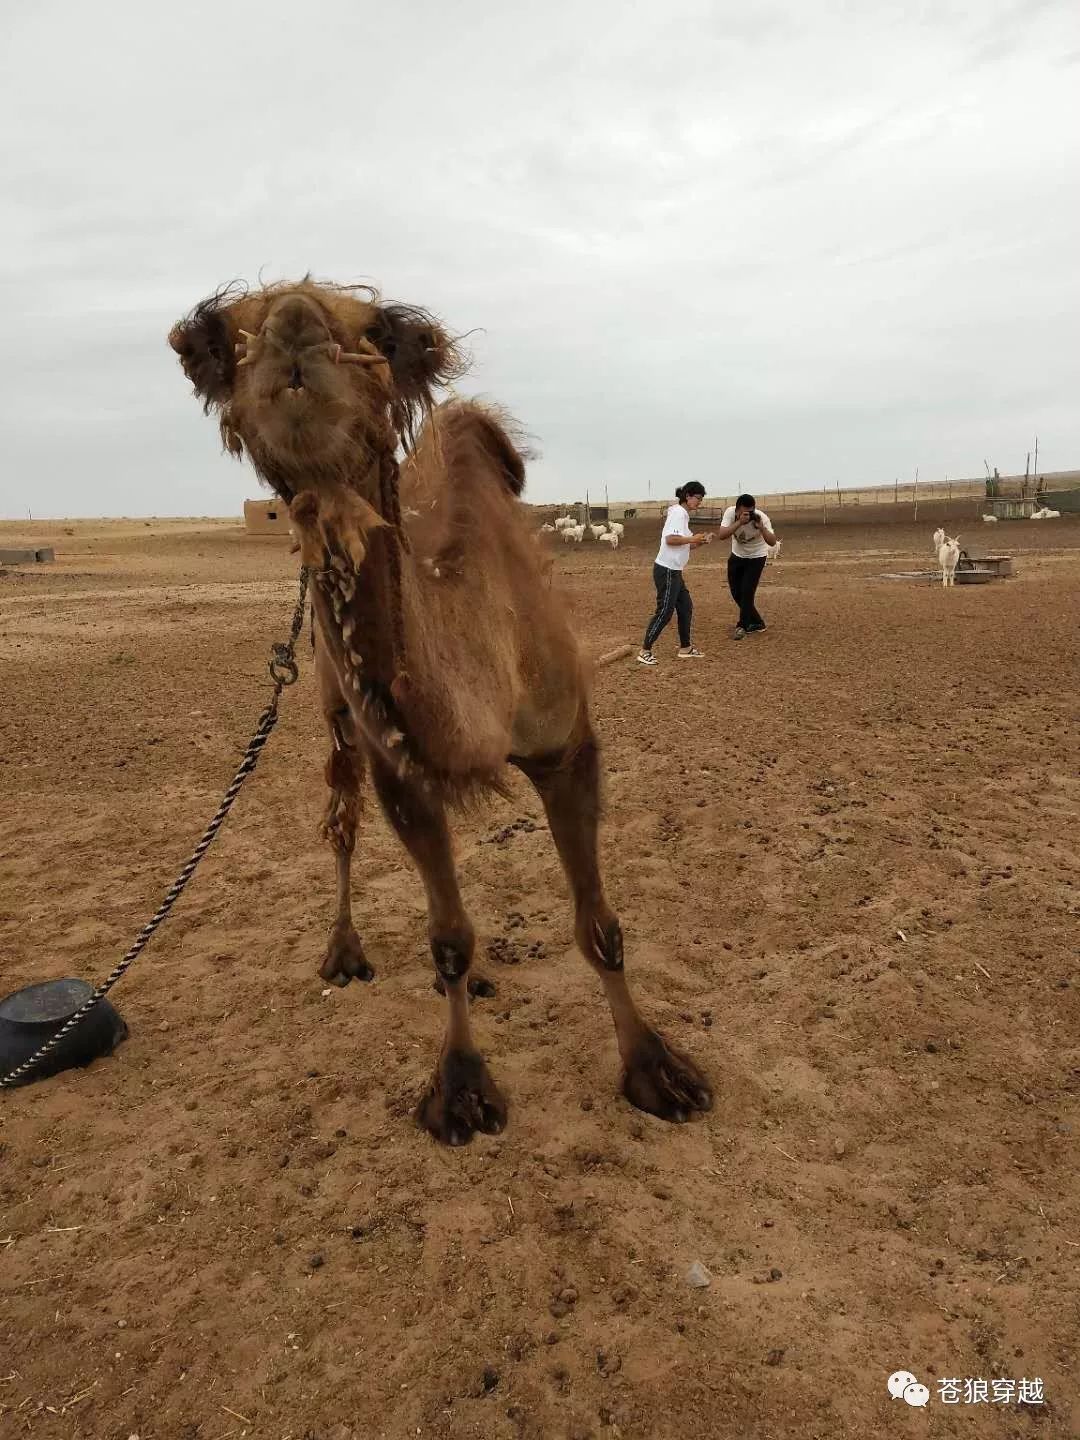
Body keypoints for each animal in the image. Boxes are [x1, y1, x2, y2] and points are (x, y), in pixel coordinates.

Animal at [167, 275, 711, 1140]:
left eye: (387, 335)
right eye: (221, 340)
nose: (294, 328)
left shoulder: (566, 746)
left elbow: (601, 927)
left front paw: (658, 1072)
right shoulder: (402, 768)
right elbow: (447, 936)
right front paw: (459, 1087)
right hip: (331, 705)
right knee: (341, 822)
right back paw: (345, 951)